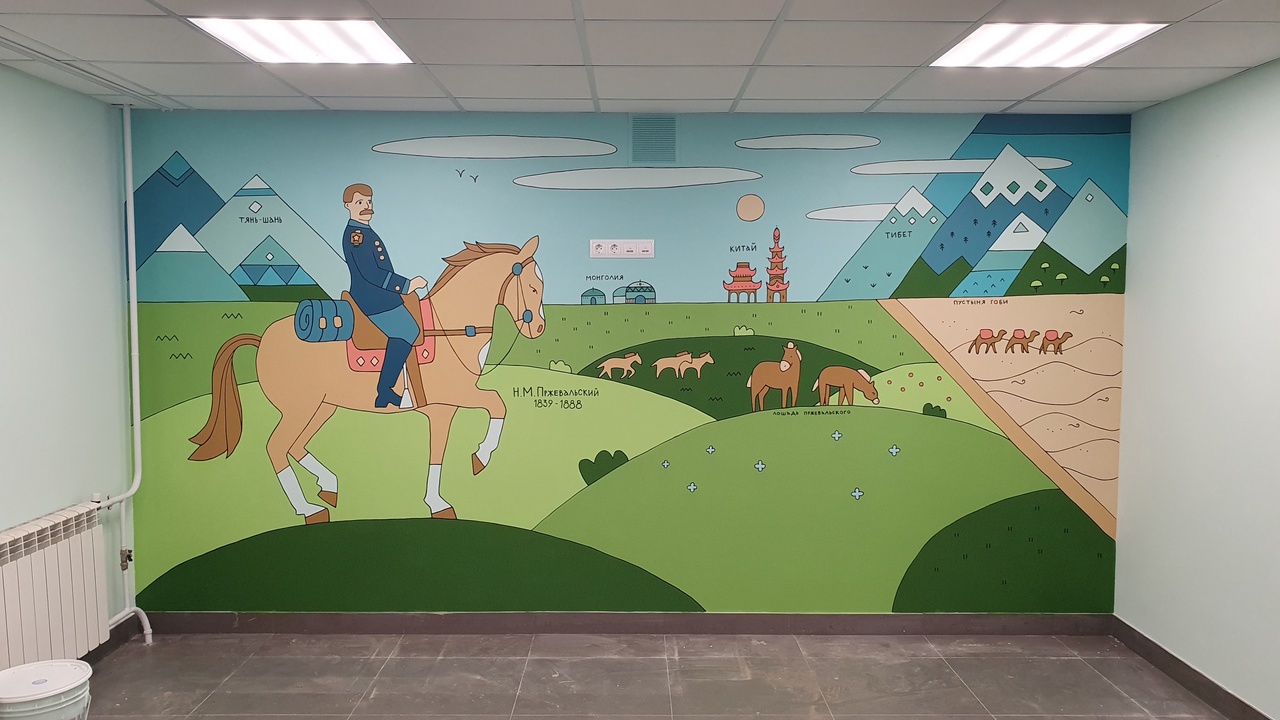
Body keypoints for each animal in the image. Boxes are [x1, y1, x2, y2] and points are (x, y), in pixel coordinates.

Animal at [188, 236, 545, 524]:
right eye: (532, 287)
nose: (538, 328)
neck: (453, 327)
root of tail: (263, 339)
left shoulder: (445, 409)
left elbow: (443, 448)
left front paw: (442, 495)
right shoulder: (452, 398)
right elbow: (495, 405)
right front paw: (476, 462)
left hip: (321, 407)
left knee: (296, 445)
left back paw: (328, 486)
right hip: (299, 409)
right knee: (277, 448)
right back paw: (309, 510)